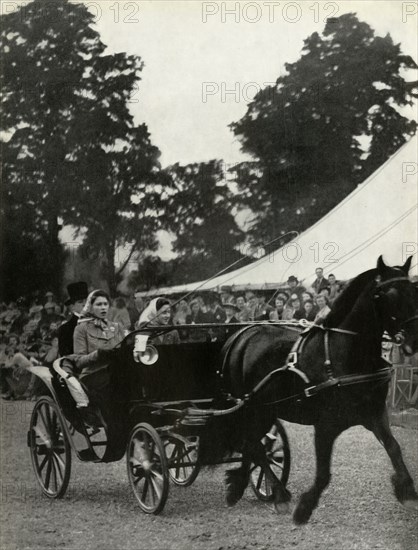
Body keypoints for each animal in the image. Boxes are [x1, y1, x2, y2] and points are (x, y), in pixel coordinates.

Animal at [209, 258, 418, 528]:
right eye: (390, 294)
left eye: (414, 290)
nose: (414, 340)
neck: (345, 356)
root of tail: (240, 334)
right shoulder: (325, 425)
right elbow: (323, 474)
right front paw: (304, 508)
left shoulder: (374, 413)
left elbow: (394, 448)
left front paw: (407, 491)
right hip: (252, 407)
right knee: (253, 446)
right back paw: (279, 494)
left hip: (264, 409)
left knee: (252, 444)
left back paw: (239, 488)